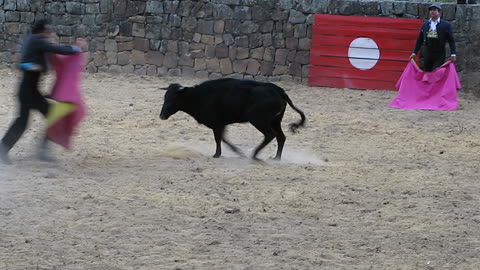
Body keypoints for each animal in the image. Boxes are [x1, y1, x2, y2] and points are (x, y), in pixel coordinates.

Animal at [159, 78, 306, 160]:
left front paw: (218, 154)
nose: (162, 115)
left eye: (173, 98)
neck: (198, 96)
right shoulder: (221, 124)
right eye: (164, 97)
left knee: (270, 135)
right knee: (281, 137)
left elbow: (219, 139)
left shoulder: (217, 124)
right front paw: (234, 152)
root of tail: (279, 91)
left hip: (259, 120)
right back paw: (276, 158)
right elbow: (223, 138)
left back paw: (254, 154)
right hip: (275, 121)